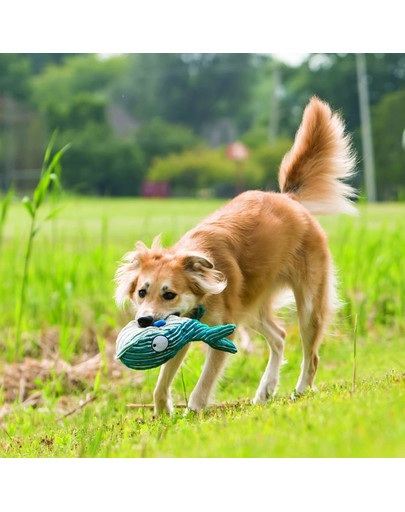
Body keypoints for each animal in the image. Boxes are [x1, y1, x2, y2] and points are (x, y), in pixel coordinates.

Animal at [114, 97, 356, 416]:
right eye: (142, 292)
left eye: (169, 294)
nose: (143, 321)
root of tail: (289, 199)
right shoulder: (183, 331)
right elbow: (161, 382)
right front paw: (164, 411)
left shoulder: (222, 332)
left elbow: (204, 383)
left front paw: (193, 412)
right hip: (250, 307)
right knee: (279, 336)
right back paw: (266, 389)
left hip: (307, 305)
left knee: (311, 356)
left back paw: (301, 389)